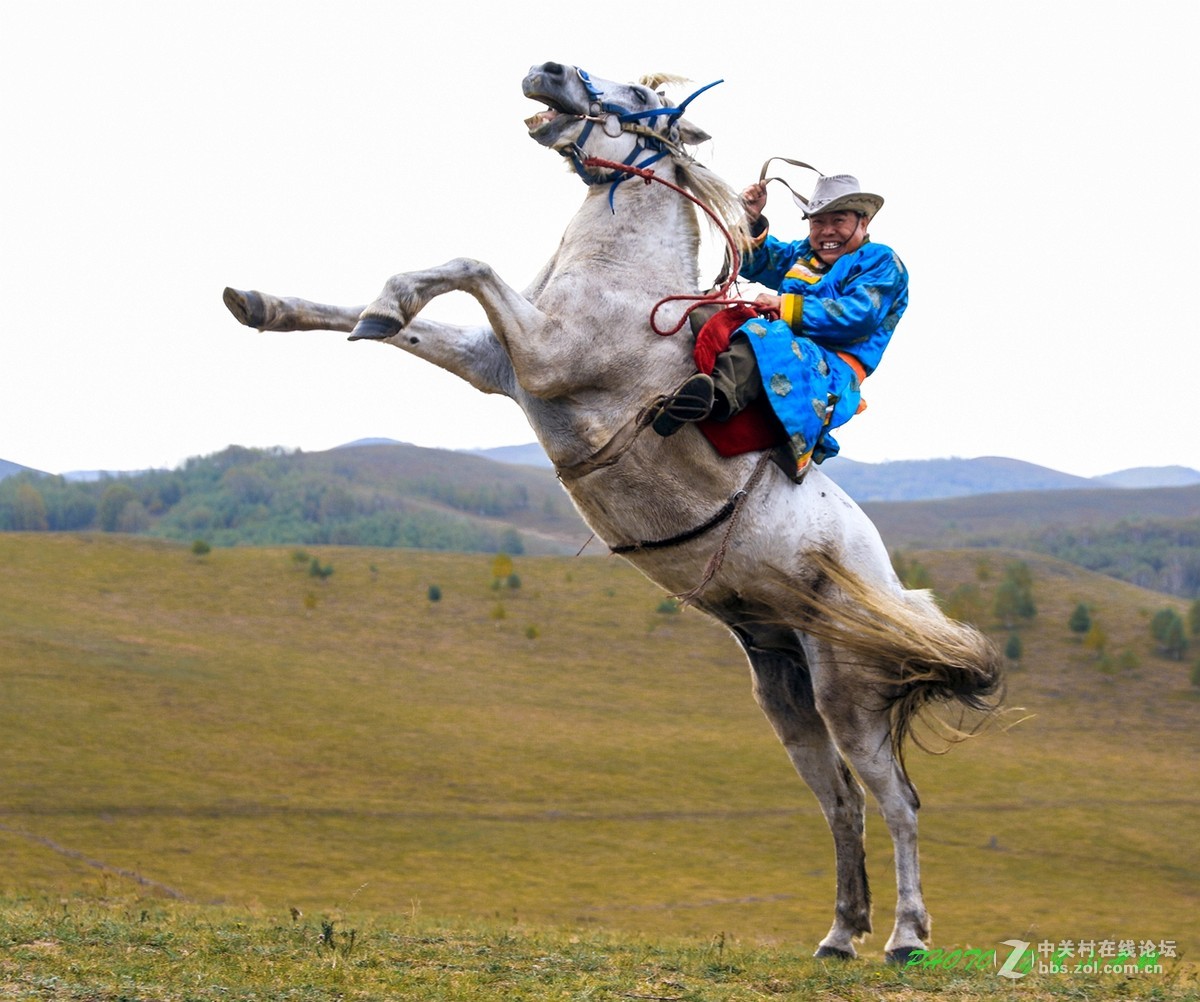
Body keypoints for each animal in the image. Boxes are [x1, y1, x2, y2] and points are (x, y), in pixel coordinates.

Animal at [225, 60, 1003, 964]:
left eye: (637, 98)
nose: (549, 70)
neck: (624, 289)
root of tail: (884, 581)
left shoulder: (542, 355)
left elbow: (466, 264)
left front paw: (387, 297)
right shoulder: (499, 364)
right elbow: (390, 322)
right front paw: (265, 302)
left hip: (850, 692)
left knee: (897, 801)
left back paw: (906, 937)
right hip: (786, 689)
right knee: (841, 802)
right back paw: (841, 933)